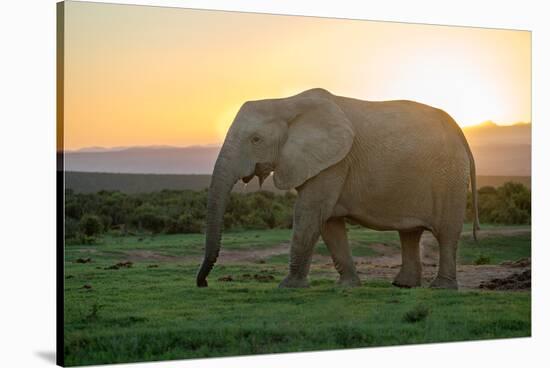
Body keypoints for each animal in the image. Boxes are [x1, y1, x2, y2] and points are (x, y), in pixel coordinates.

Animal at [196, 87, 480, 288]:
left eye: (256, 139)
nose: (203, 283)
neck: (286, 102)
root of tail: (459, 131)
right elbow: (329, 222)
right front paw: (348, 286)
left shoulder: (334, 162)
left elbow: (310, 213)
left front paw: (287, 286)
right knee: (409, 233)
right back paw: (403, 286)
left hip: (449, 176)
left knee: (446, 233)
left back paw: (441, 288)